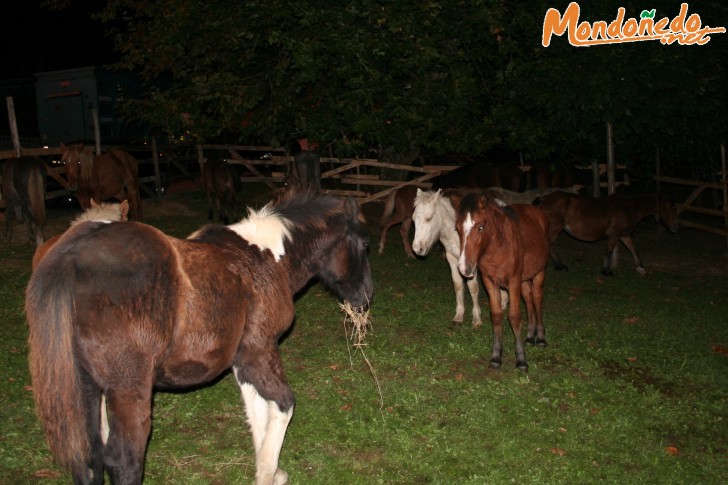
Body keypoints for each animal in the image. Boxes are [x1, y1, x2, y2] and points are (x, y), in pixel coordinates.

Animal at [25, 192, 372, 484]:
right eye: (364, 244)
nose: (366, 297)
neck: (267, 257)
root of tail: (71, 256)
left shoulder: (243, 363)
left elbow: (257, 414)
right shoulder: (260, 352)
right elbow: (283, 406)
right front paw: (269, 473)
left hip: (86, 389)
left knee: (88, 457)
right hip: (128, 388)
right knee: (124, 460)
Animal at [452, 191, 548, 368]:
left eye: (481, 227)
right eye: (457, 228)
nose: (464, 268)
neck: (498, 248)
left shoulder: (514, 281)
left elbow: (514, 317)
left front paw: (521, 360)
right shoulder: (490, 282)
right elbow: (496, 315)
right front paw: (496, 356)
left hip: (539, 272)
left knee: (537, 298)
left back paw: (540, 338)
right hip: (525, 279)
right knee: (529, 298)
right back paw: (530, 336)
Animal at [532, 190, 680, 274]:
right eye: (672, 206)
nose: (676, 226)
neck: (628, 207)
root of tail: (544, 198)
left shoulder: (624, 234)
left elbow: (633, 249)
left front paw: (640, 268)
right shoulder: (614, 234)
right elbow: (609, 251)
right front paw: (606, 270)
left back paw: (559, 265)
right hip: (554, 229)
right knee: (549, 245)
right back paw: (558, 265)